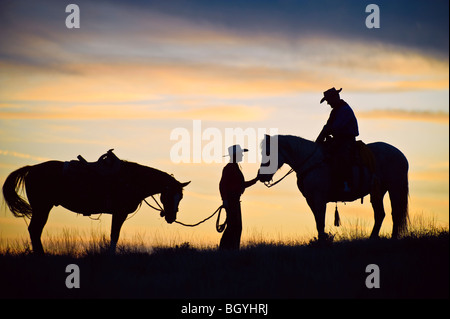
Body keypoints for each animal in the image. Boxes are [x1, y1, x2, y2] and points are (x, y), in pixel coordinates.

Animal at [1, 151, 189, 255]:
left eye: (180, 197)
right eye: (168, 195)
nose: (171, 217)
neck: (131, 180)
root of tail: (31, 168)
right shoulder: (119, 213)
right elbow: (114, 235)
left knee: (35, 231)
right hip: (42, 207)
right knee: (34, 230)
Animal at [256, 135, 408, 242]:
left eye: (269, 152)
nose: (262, 176)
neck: (311, 162)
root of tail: (400, 155)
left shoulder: (319, 198)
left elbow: (320, 220)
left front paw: (322, 242)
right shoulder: (310, 200)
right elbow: (318, 221)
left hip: (395, 187)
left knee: (395, 213)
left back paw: (393, 238)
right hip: (378, 191)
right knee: (380, 214)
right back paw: (372, 238)